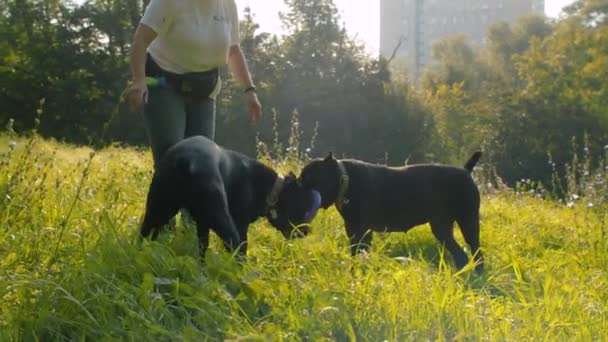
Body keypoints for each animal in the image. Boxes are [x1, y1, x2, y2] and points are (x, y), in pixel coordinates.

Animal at [140, 135, 320, 258]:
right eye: (303, 207)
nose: (307, 231)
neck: (271, 188)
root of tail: (187, 161)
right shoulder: (241, 224)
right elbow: (242, 248)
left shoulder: (202, 222)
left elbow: (202, 248)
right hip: (222, 218)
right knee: (235, 249)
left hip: (158, 209)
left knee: (144, 233)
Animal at [300, 152, 484, 272]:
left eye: (309, 178)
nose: (298, 188)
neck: (345, 180)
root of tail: (465, 171)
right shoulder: (353, 230)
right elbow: (356, 253)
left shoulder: (361, 231)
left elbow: (359, 252)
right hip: (442, 228)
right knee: (461, 254)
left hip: (468, 223)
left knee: (475, 250)